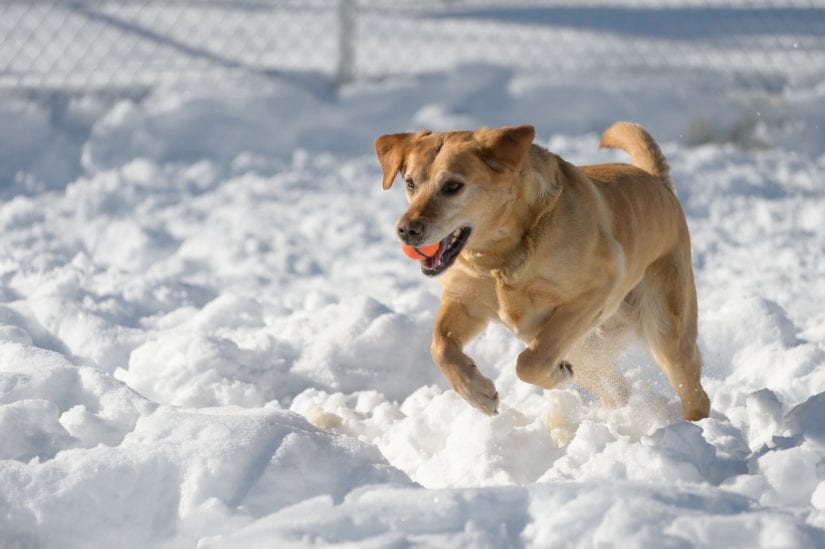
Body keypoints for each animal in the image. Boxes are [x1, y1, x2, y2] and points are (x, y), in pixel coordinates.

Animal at [374, 122, 708, 420]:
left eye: (452, 186)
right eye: (410, 183)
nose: (406, 230)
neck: (499, 258)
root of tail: (658, 182)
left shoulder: (593, 293)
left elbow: (529, 362)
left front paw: (555, 376)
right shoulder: (465, 302)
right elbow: (440, 347)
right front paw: (479, 394)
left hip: (666, 332)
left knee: (694, 392)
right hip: (590, 352)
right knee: (618, 389)